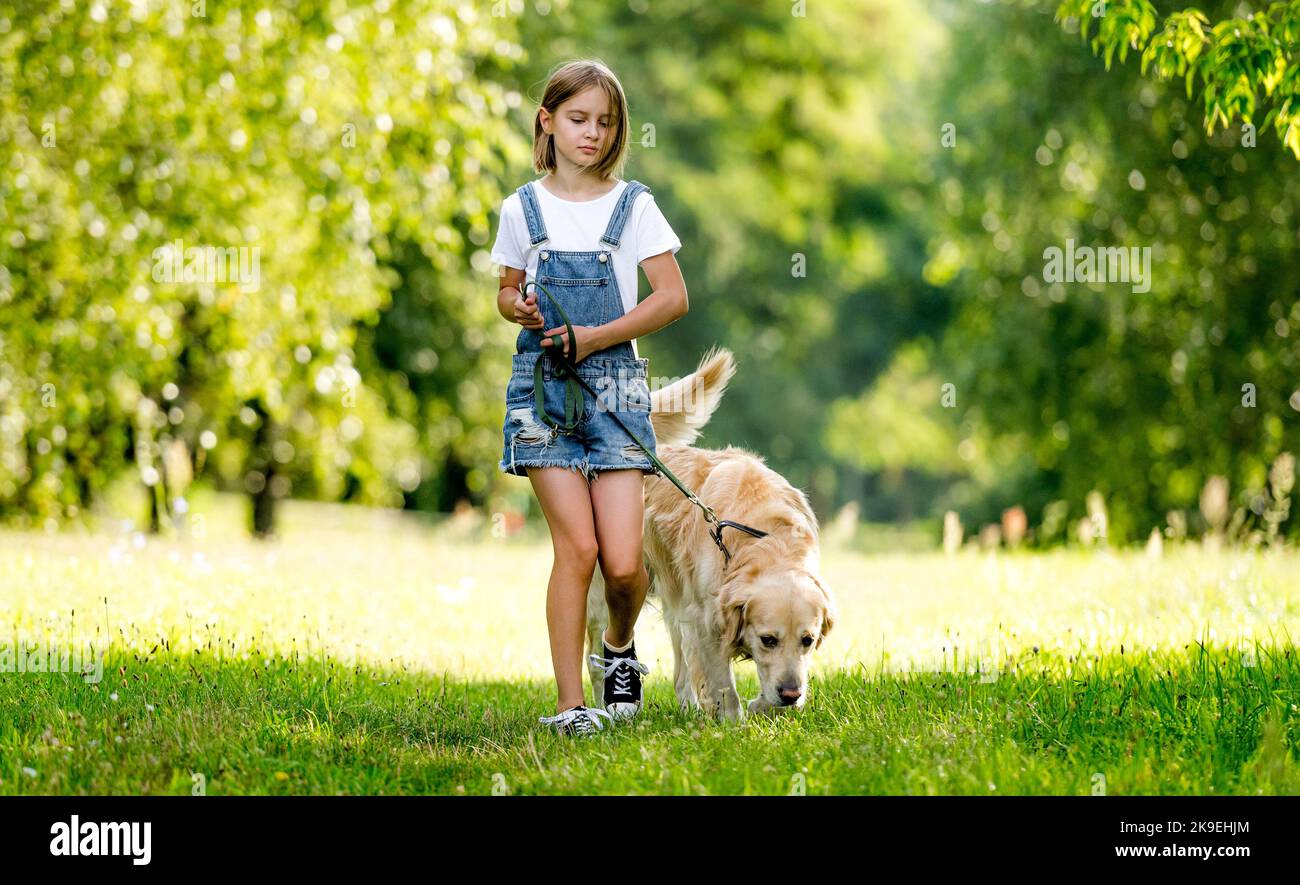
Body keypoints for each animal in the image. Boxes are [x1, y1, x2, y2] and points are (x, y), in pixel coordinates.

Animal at [585, 345, 837, 717]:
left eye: (807, 640)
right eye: (768, 639)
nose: (792, 694)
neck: (766, 536)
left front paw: (763, 705)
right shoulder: (706, 618)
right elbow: (723, 685)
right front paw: (734, 721)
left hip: (675, 600)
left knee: (680, 671)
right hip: (611, 590)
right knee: (597, 655)